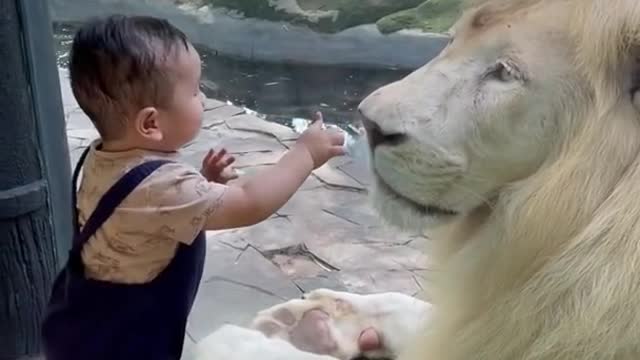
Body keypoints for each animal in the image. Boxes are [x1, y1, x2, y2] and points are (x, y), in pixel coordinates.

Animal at [194, 0, 640, 358]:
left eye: (504, 73)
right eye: (453, 39)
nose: (370, 125)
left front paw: (244, 339)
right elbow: (418, 309)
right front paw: (311, 317)